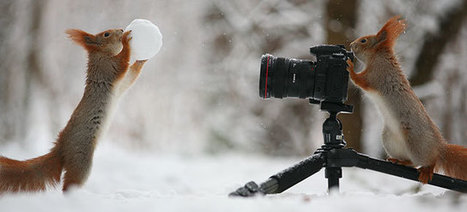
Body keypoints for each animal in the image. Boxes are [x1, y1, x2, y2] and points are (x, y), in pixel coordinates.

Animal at [0, 27, 148, 193]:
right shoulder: (108, 68)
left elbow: (131, 76)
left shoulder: (121, 84)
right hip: (81, 159)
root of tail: (61, 148)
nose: (121, 29)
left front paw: (141, 60)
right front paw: (126, 41)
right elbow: (123, 61)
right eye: (106, 34)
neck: (101, 54)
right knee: (70, 184)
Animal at [348, 15, 467, 183]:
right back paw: (399, 160)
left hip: (416, 143)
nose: (351, 45)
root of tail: (439, 147)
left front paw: (350, 67)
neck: (377, 56)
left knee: (427, 160)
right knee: (410, 162)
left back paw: (427, 169)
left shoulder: (377, 74)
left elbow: (360, 80)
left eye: (364, 40)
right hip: (389, 139)